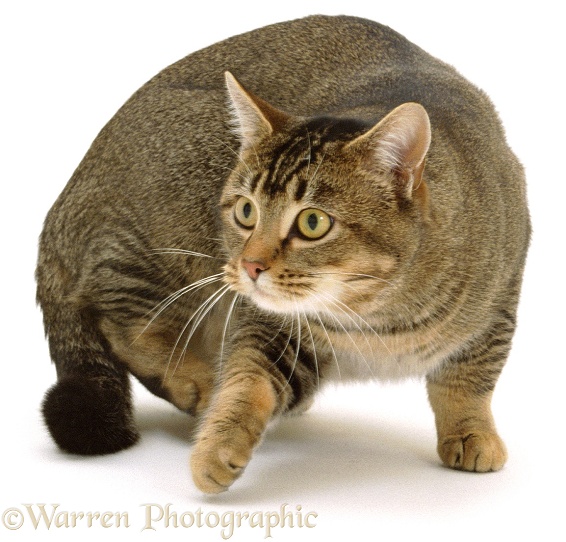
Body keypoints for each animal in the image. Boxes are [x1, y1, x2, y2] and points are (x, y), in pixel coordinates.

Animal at [35, 14, 532, 496]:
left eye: (313, 223)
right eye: (246, 211)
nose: (250, 265)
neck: (378, 320)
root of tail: (66, 197)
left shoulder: (498, 307)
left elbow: (467, 383)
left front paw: (471, 432)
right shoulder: (271, 325)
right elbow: (247, 382)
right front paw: (217, 442)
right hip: (158, 235)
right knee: (118, 316)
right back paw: (198, 383)